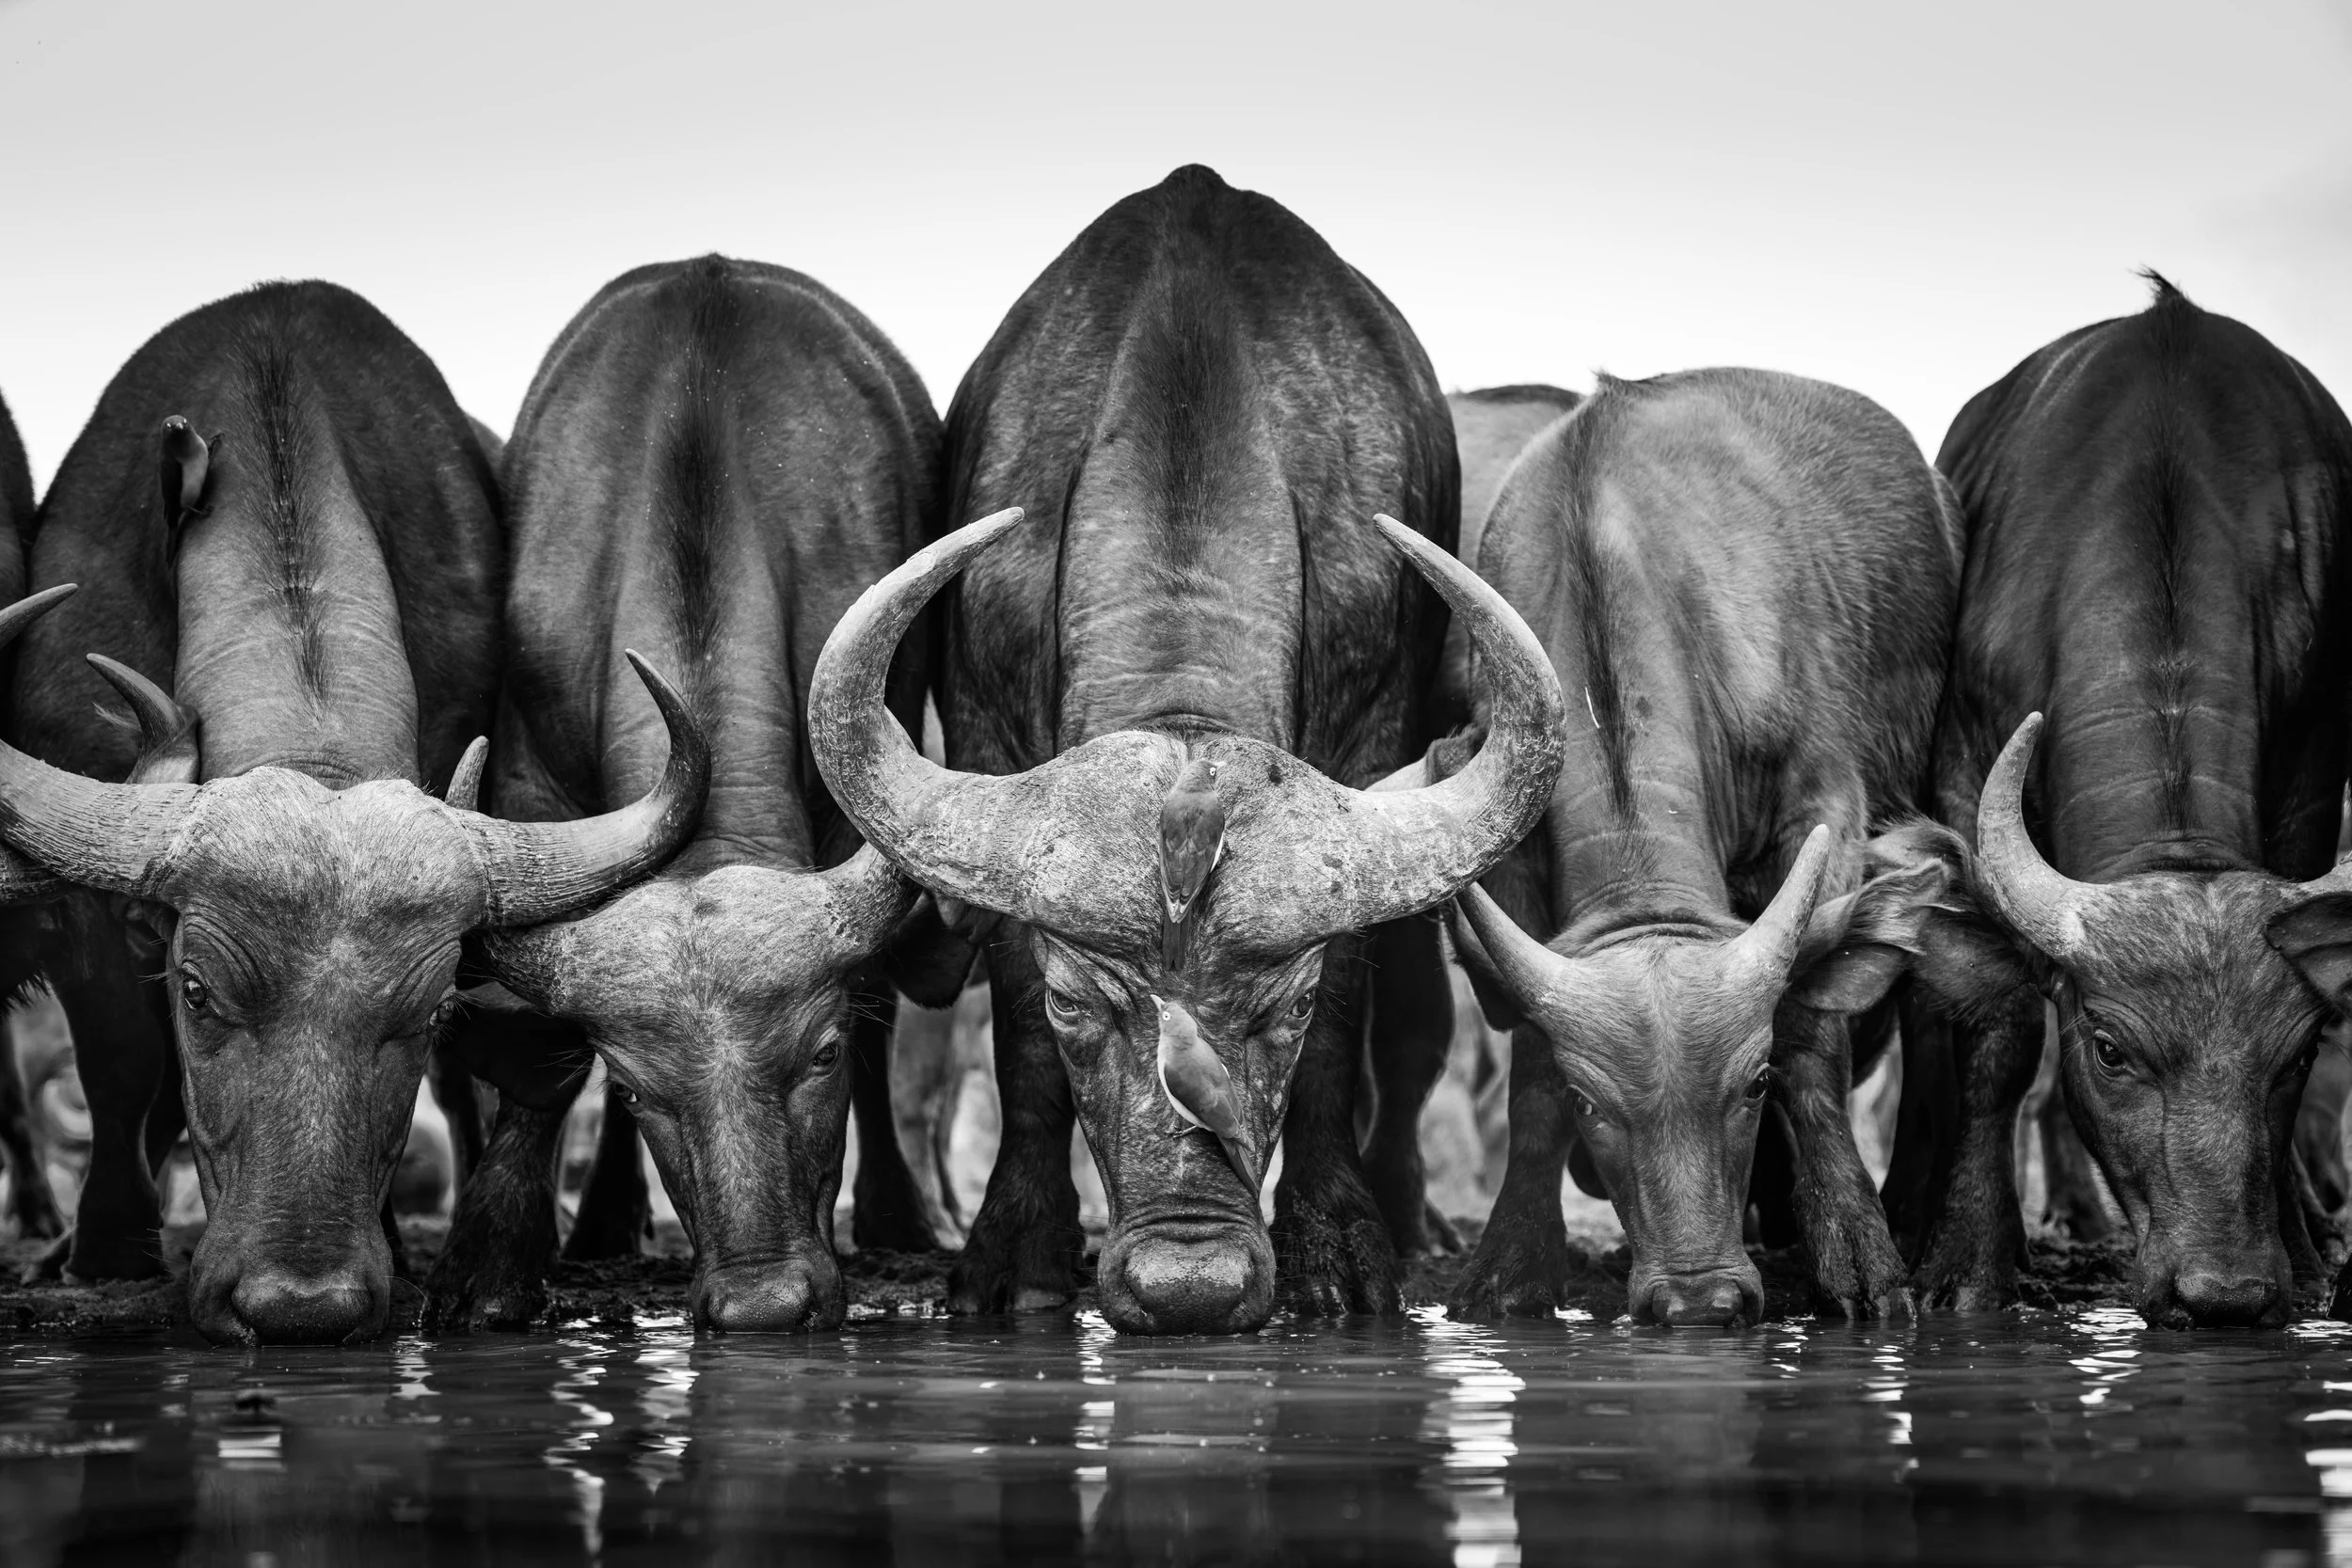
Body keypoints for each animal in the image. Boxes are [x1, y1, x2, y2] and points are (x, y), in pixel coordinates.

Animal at [0, 282, 706, 1342]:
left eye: (424, 1012)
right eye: (198, 993)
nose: (300, 1308)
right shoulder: (89, 909)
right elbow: (123, 1063)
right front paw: (106, 1251)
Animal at [807, 166, 1565, 1334]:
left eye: (1283, 1006)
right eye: (1078, 1003)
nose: (1190, 1285)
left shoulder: (1371, 735)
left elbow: (1345, 1017)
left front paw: (1336, 1251)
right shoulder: (981, 725)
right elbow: (1013, 1021)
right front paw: (1014, 1253)